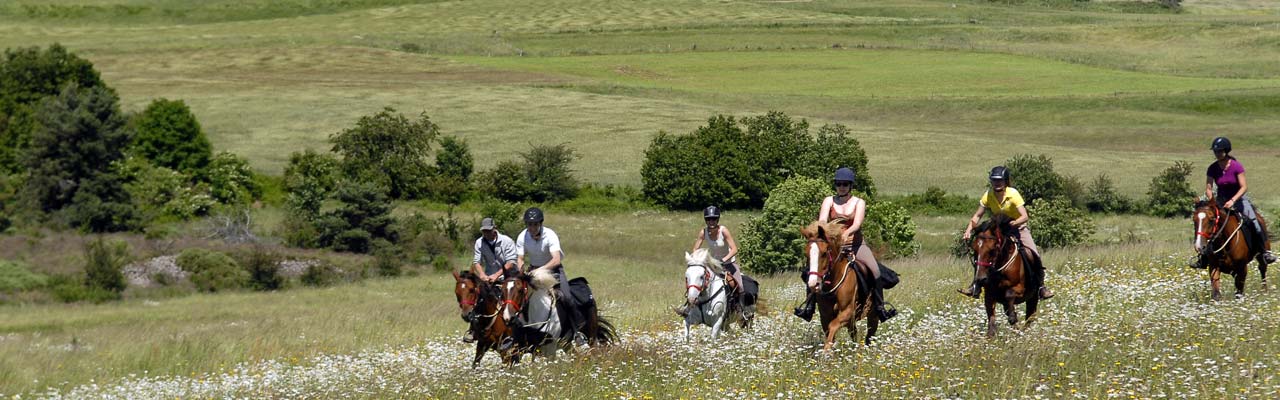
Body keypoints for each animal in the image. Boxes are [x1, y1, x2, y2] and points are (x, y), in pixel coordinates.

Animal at [798, 220, 880, 351]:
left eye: (824, 253)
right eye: (806, 254)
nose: (813, 284)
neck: (833, 283)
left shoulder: (848, 311)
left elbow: (833, 326)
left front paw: (826, 351)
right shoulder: (825, 315)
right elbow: (829, 330)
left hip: (872, 315)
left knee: (870, 334)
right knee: (854, 333)